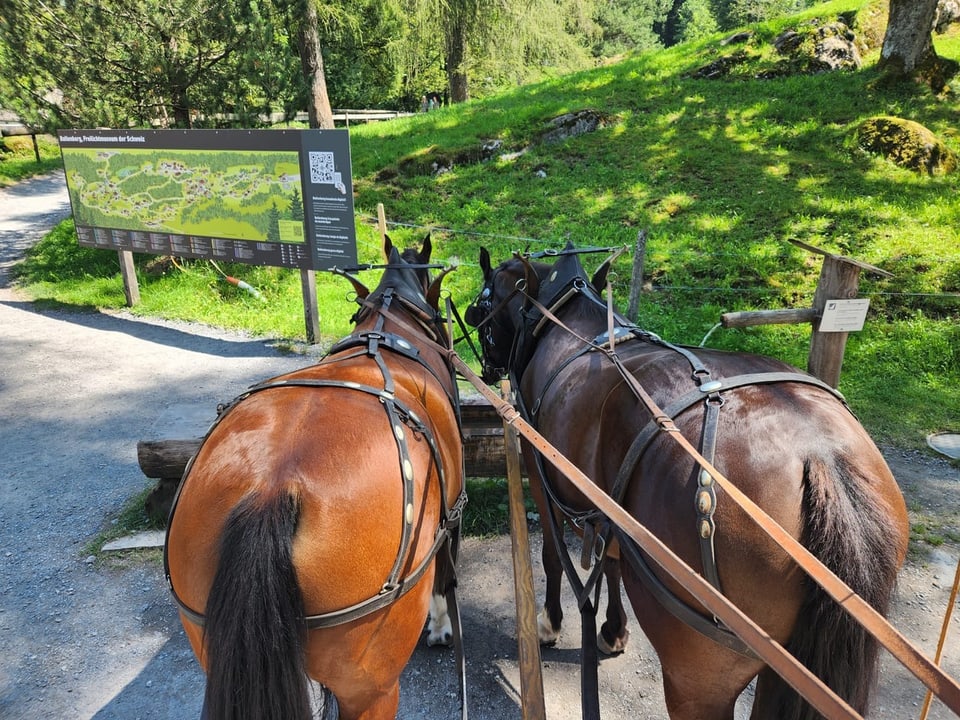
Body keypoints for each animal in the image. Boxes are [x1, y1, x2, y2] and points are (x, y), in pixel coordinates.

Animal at [165, 238, 464, 720]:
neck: (394, 325)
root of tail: (271, 490)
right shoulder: (450, 515)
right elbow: (444, 579)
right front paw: (439, 628)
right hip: (371, 687)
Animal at [468, 246, 912, 720]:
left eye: (484, 296)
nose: (486, 361)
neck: (557, 316)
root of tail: (820, 455)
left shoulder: (541, 475)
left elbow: (552, 556)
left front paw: (550, 623)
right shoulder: (609, 508)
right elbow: (613, 563)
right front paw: (613, 630)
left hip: (699, 674)